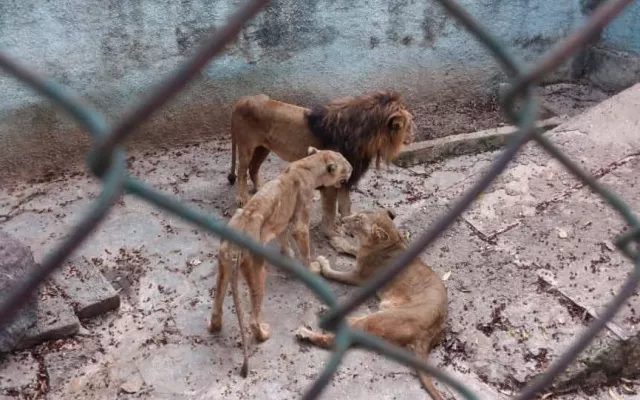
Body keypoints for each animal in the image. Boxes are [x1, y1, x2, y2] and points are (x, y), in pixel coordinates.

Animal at [208, 147, 352, 378]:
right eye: (346, 164)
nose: (353, 168)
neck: (309, 163)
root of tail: (235, 246)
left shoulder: (282, 221)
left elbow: (284, 239)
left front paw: (288, 256)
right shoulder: (299, 222)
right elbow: (304, 247)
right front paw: (311, 267)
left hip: (223, 267)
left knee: (217, 305)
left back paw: (215, 326)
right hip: (257, 270)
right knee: (252, 319)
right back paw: (264, 334)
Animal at [226, 89, 415, 242]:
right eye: (407, 125)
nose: (413, 136)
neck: (365, 139)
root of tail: (241, 100)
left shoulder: (346, 180)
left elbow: (346, 206)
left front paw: (353, 225)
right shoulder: (332, 182)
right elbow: (330, 211)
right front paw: (332, 234)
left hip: (263, 148)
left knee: (253, 169)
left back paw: (261, 190)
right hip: (246, 146)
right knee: (242, 171)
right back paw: (242, 198)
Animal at [295, 208, 448, 400]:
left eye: (358, 220)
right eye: (356, 215)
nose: (343, 220)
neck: (391, 241)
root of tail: (427, 336)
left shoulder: (359, 277)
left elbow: (334, 274)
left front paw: (323, 264)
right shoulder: (362, 254)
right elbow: (352, 248)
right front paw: (338, 242)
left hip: (381, 318)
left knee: (341, 337)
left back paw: (310, 330)